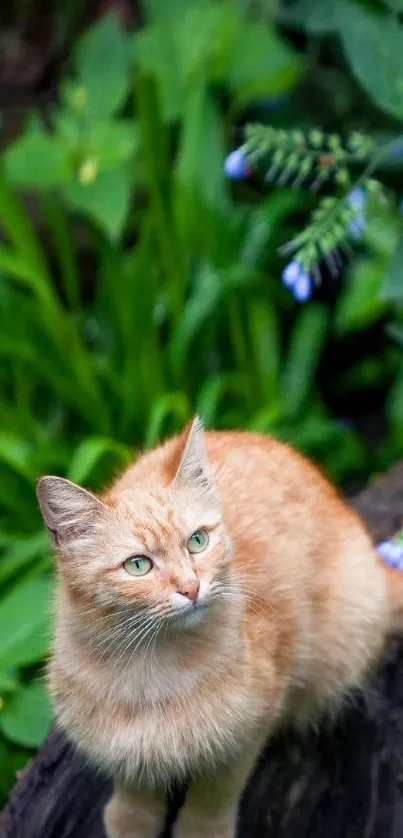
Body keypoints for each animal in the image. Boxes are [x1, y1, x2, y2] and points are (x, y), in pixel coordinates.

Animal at [37, 420, 403, 838]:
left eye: (198, 541)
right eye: (138, 565)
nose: (190, 587)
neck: (151, 668)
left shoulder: (247, 734)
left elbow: (216, 790)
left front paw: (201, 828)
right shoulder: (118, 746)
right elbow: (133, 784)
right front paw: (131, 821)